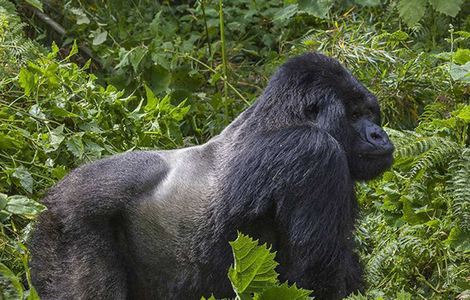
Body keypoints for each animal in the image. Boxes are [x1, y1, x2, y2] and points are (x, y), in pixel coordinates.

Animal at [31, 52, 394, 298]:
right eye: (355, 115)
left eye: (370, 112)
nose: (379, 135)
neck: (281, 117)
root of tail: (52, 195)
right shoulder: (315, 153)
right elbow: (313, 276)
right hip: (69, 226)